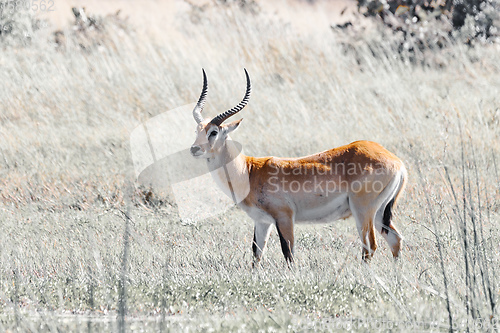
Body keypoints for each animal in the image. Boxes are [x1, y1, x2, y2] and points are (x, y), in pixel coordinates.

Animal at [189, 68, 404, 264]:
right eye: (198, 130)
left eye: (214, 132)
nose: (194, 149)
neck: (249, 171)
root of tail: (396, 161)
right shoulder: (261, 221)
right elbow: (256, 254)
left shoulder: (284, 217)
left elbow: (288, 253)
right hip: (379, 213)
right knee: (395, 239)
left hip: (362, 211)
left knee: (370, 246)